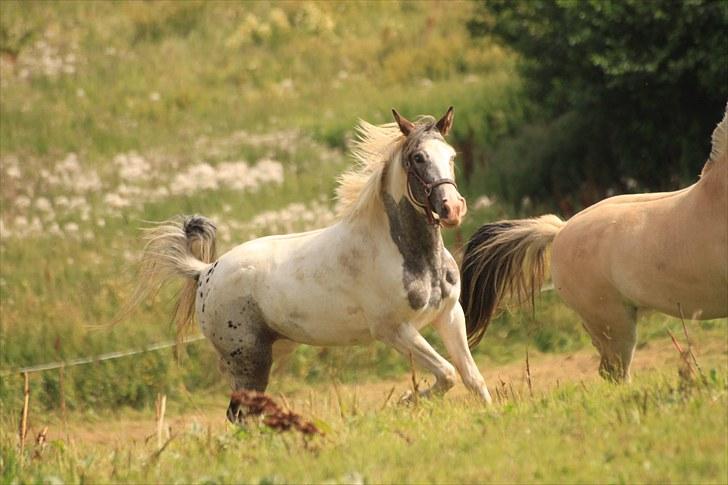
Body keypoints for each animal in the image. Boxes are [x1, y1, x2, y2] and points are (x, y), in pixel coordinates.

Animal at [132, 107, 494, 420]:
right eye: (418, 158)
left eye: (451, 156)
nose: (452, 209)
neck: (405, 254)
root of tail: (205, 271)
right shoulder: (394, 331)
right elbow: (447, 373)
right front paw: (405, 400)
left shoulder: (449, 315)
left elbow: (472, 377)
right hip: (248, 359)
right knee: (239, 414)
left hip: (273, 352)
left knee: (244, 412)